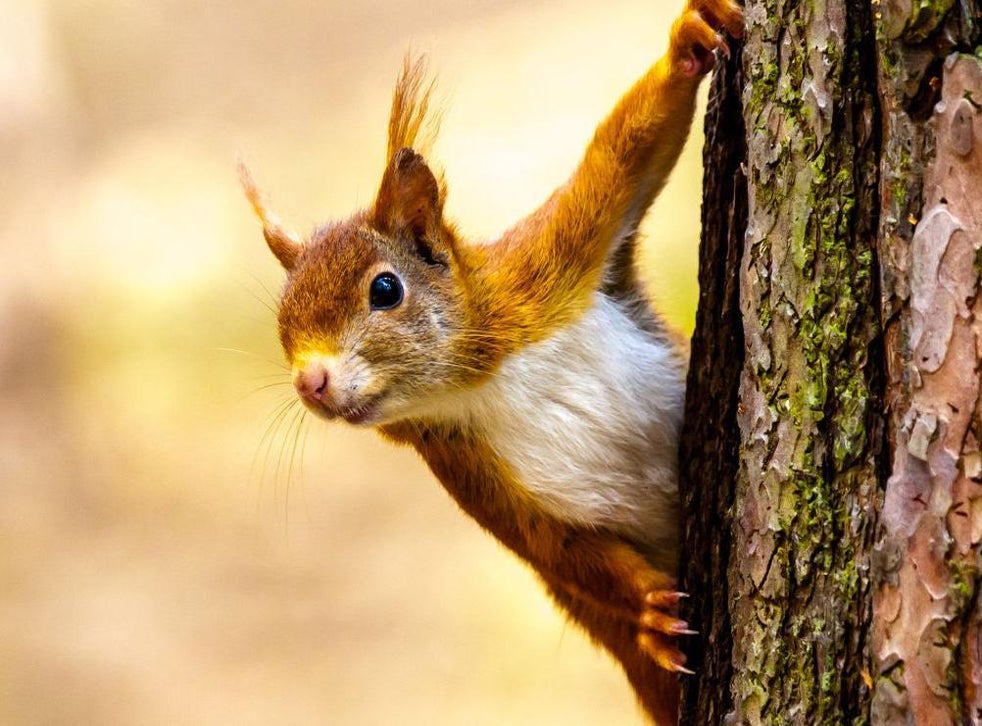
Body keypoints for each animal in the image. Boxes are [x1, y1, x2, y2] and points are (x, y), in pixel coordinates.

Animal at [242, 2, 740, 724]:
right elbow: (560, 551)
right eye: (282, 327)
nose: (311, 382)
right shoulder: (472, 474)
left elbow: (624, 158)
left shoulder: (549, 265)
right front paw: (650, 610)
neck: (479, 382)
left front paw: (689, 40)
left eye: (385, 289)